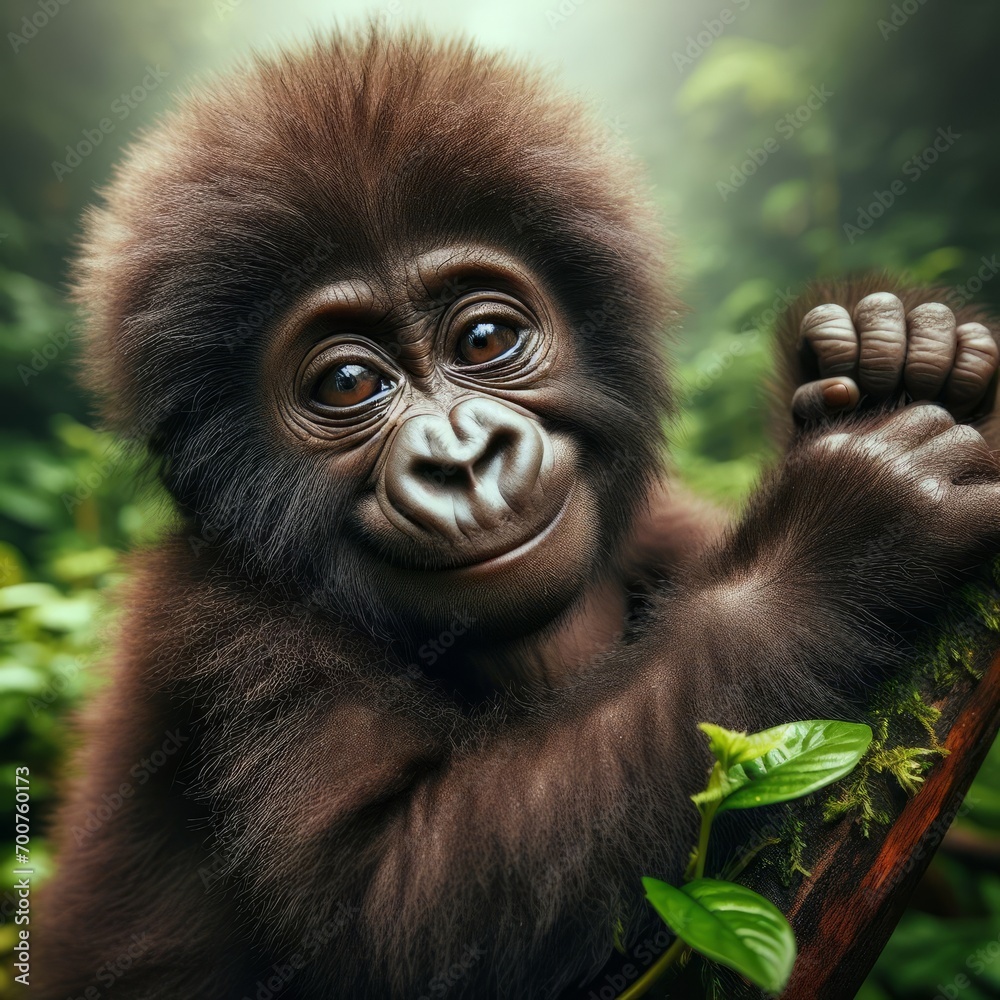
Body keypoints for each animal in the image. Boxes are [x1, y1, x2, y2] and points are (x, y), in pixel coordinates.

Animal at [35, 28, 1000, 1000]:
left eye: (485, 340)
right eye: (348, 384)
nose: (463, 460)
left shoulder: (652, 527)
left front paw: (900, 348)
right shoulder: (229, 626)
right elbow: (399, 904)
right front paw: (832, 547)